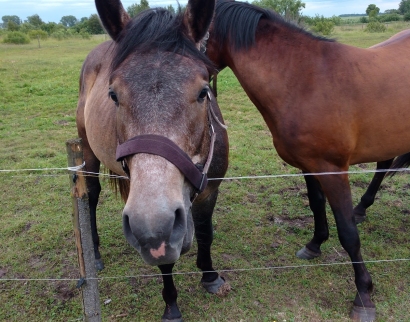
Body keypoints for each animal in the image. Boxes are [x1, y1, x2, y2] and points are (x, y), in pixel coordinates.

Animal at [76, 0, 229, 320]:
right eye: (113, 95)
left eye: (203, 92)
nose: (152, 223)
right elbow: (165, 260)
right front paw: (171, 305)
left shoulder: (210, 190)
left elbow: (205, 233)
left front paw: (210, 277)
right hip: (87, 149)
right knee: (91, 196)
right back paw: (94, 254)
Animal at [207, 1, 410, 320]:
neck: (306, 79)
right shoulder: (310, 165)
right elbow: (316, 204)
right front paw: (314, 245)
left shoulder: (332, 170)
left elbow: (348, 233)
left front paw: (363, 295)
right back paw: (362, 208)